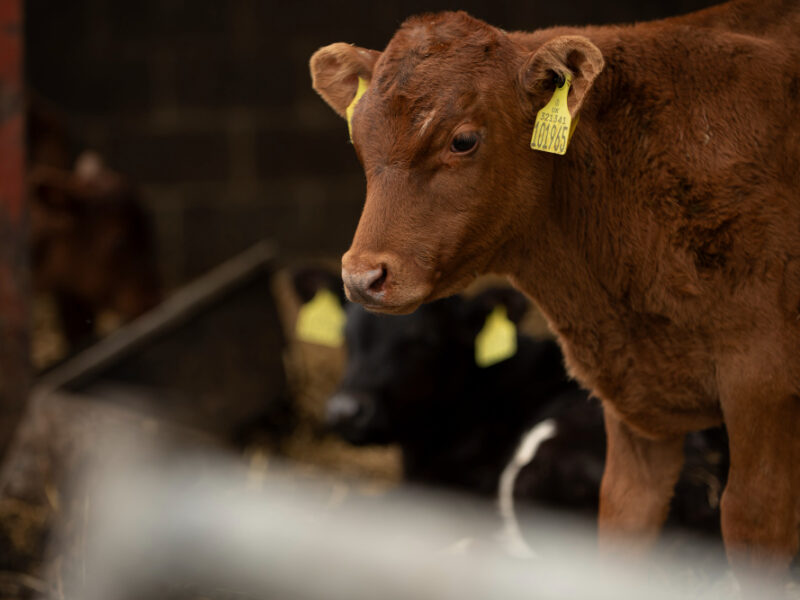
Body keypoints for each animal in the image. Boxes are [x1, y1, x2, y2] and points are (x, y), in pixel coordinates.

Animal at [310, 0, 800, 572]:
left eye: (463, 140)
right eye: (359, 139)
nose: (363, 276)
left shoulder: (762, 391)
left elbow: (752, 522)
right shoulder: (634, 410)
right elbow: (624, 519)